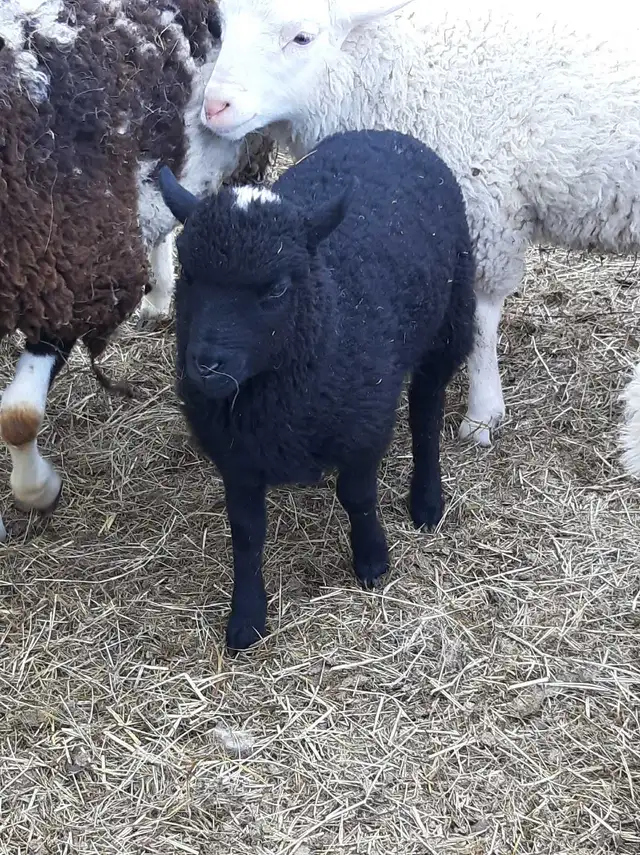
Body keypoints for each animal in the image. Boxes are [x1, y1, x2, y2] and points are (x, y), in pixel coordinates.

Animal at [158, 128, 476, 650]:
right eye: (188, 275)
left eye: (276, 289)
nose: (206, 365)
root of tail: (385, 134)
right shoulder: (236, 456)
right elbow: (246, 531)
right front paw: (246, 617)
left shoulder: (365, 426)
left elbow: (358, 496)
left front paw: (372, 558)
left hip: (450, 321)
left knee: (426, 412)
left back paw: (427, 500)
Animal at [195, 0, 640, 451]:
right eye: (222, 24)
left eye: (302, 37)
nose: (214, 108)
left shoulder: (480, 209)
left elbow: (480, 317)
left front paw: (482, 412)